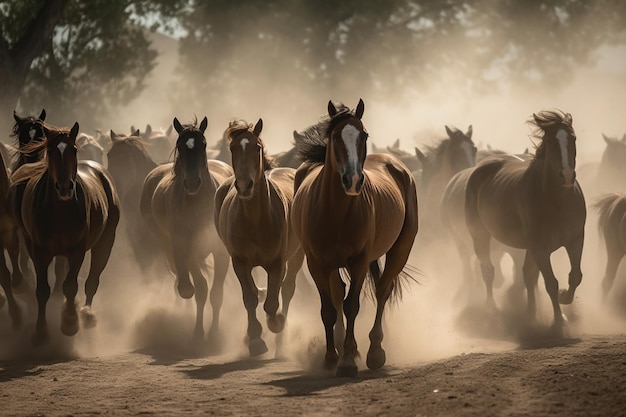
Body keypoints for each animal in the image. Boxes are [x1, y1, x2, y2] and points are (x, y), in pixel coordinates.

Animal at [9, 122, 119, 342]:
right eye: (51, 151)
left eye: (73, 150)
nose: (65, 187)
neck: (60, 211)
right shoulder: (40, 252)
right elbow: (43, 289)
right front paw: (41, 331)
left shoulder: (77, 251)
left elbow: (70, 286)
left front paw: (70, 322)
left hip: (106, 241)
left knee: (92, 279)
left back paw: (86, 314)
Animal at [140, 114, 234, 342]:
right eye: (180, 146)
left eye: (203, 144)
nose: (192, 182)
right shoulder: (185, 247)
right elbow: (197, 289)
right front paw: (198, 332)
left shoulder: (220, 252)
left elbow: (216, 294)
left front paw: (214, 332)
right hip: (165, 243)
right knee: (179, 277)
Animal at [213, 116, 304, 354]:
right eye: (233, 148)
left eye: (257, 147)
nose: (245, 186)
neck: (255, 219)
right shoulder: (239, 262)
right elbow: (250, 297)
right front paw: (255, 339)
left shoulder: (277, 263)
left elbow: (272, 302)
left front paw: (276, 322)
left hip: (297, 255)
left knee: (287, 288)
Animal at [290, 99, 416, 376]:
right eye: (335, 136)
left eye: (364, 135)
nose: (354, 180)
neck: (335, 211)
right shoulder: (317, 263)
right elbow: (329, 309)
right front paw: (330, 358)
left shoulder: (359, 261)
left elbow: (352, 306)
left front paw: (348, 360)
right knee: (339, 294)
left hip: (401, 249)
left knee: (383, 290)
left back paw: (375, 351)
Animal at [464, 109, 584, 328]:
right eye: (551, 141)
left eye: (573, 138)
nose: (566, 175)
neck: (557, 201)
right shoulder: (540, 248)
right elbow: (551, 282)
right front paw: (558, 319)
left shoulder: (575, 240)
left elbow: (575, 276)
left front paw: (564, 298)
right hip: (480, 236)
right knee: (488, 270)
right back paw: (491, 309)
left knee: (527, 274)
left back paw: (530, 312)